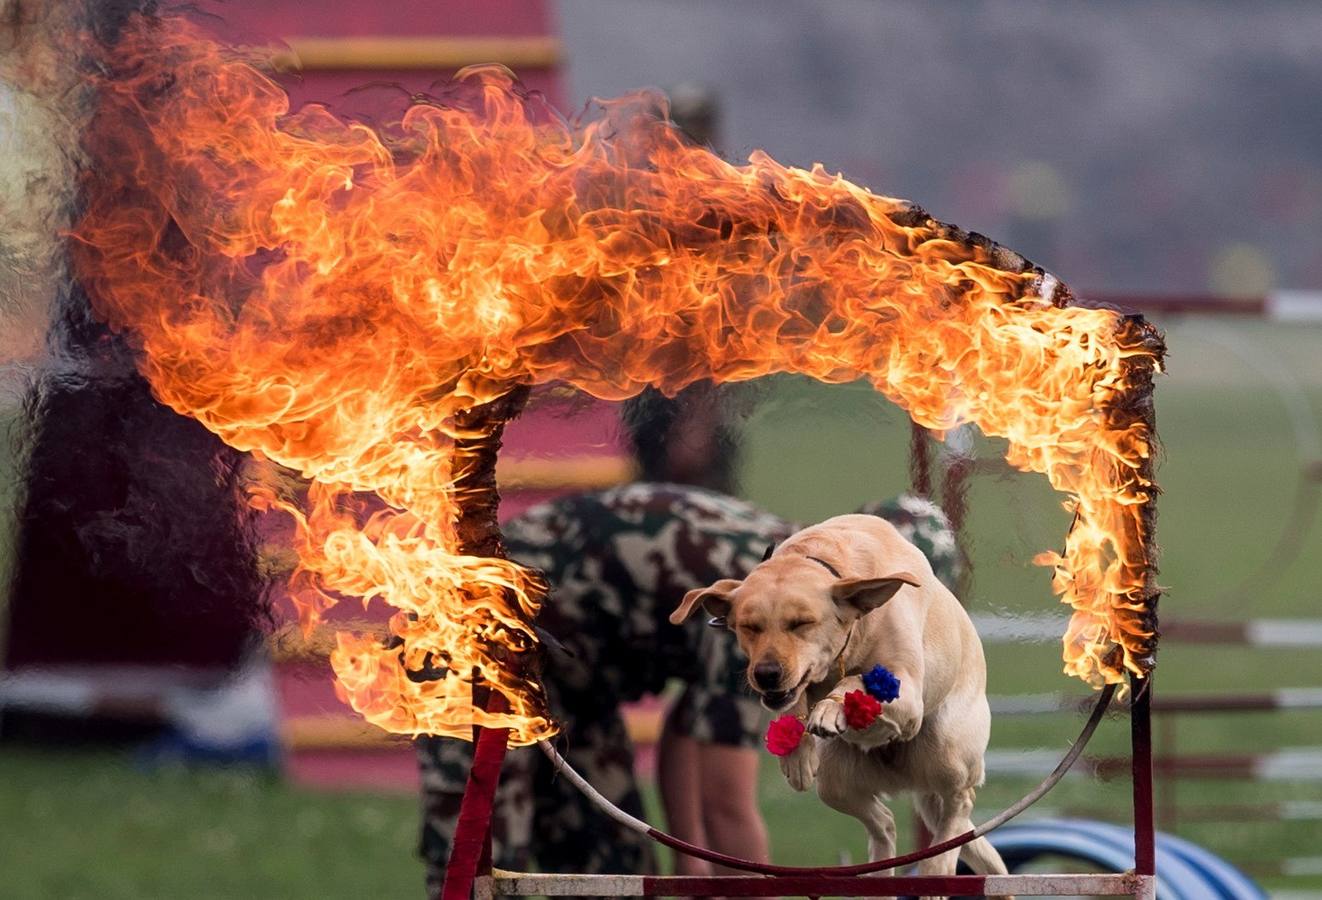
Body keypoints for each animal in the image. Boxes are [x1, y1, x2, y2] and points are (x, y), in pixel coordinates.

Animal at [676, 510, 1004, 893]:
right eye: (749, 627)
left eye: (801, 623)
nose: (766, 674)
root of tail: (906, 777)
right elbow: (794, 701)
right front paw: (796, 755)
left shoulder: (907, 692)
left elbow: (856, 681)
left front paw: (831, 709)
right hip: (835, 780)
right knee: (884, 822)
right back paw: (880, 876)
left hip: (946, 752)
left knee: (956, 812)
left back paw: (937, 869)